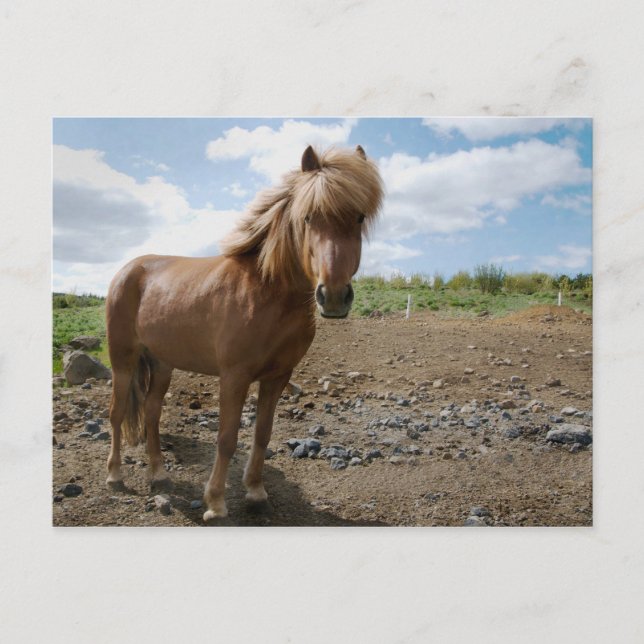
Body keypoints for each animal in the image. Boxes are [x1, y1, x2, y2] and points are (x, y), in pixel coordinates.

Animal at [105, 144, 384, 521]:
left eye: (358, 218)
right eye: (308, 217)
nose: (335, 295)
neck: (266, 292)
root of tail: (128, 270)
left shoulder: (278, 376)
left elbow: (263, 434)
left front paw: (255, 492)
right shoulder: (234, 376)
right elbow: (226, 438)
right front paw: (215, 503)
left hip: (162, 362)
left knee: (151, 411)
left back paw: (159, 474)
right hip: (123, 360)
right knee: (117, 412)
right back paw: (115, 476)